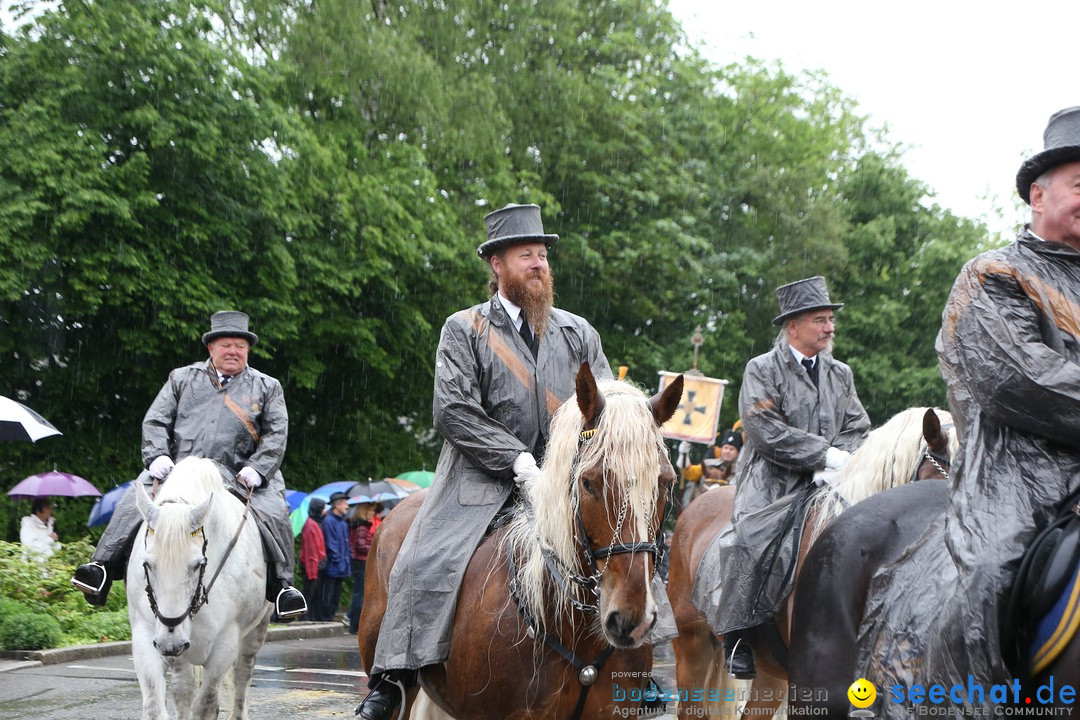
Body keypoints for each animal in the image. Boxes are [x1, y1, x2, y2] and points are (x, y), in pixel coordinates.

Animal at [128, 459, 272, 716]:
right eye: (147, 564)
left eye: (197, 564)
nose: (170, 643)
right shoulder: (145, 635)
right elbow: (156, 706)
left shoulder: (225, 643)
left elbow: (206, 704)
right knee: (183, 689)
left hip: (256, 629)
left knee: (242, 677)